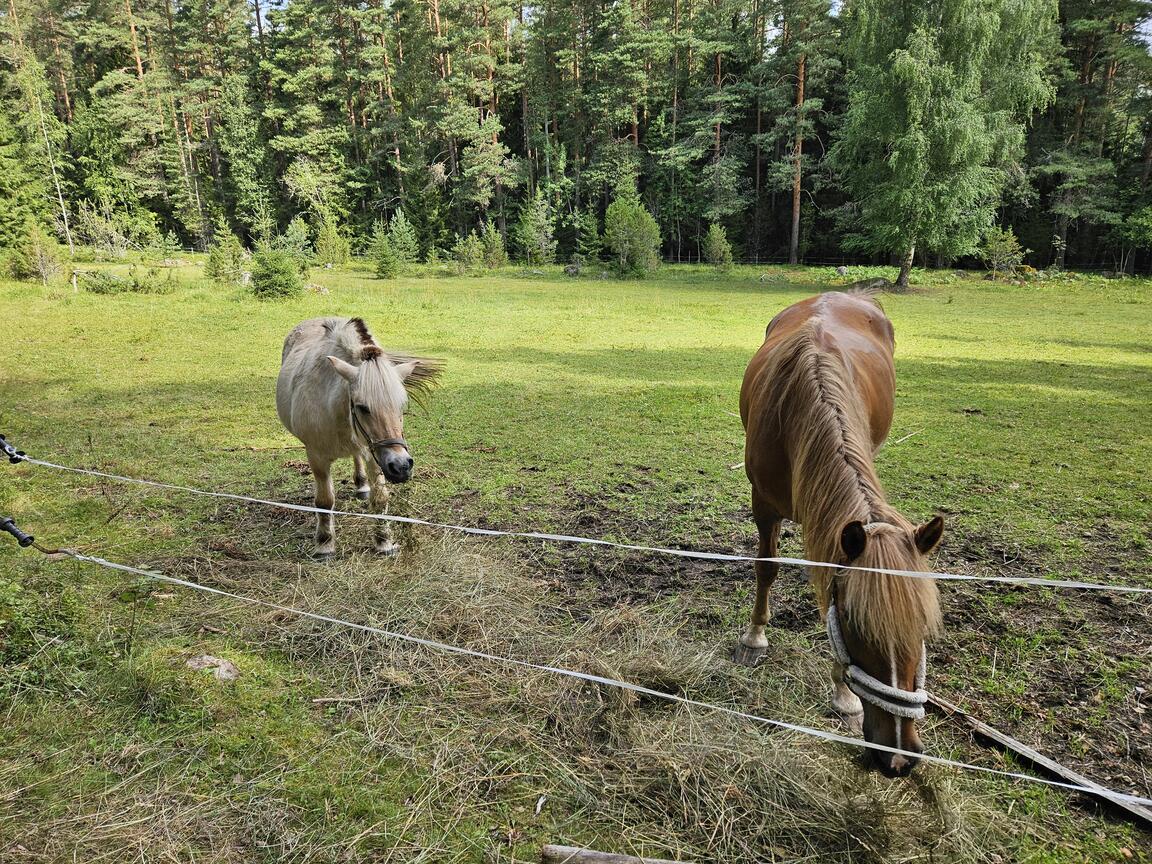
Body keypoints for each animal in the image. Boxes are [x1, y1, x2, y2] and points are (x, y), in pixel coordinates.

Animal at [276, 317, 442, 562]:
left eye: (402, 406)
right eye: (363, 407)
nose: (402, 466)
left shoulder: (376, 456)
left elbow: (380, 497)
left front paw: (384, 541)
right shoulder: (316, 456)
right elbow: (324, 501)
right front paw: (324, 545)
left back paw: (362, 485)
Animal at [737, 294, 944, 783]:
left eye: (923, 629)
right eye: (857, 627)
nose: (899, 757)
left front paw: (843, 697)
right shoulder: (763, 504)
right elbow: (767, 568)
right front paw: (755, 637)